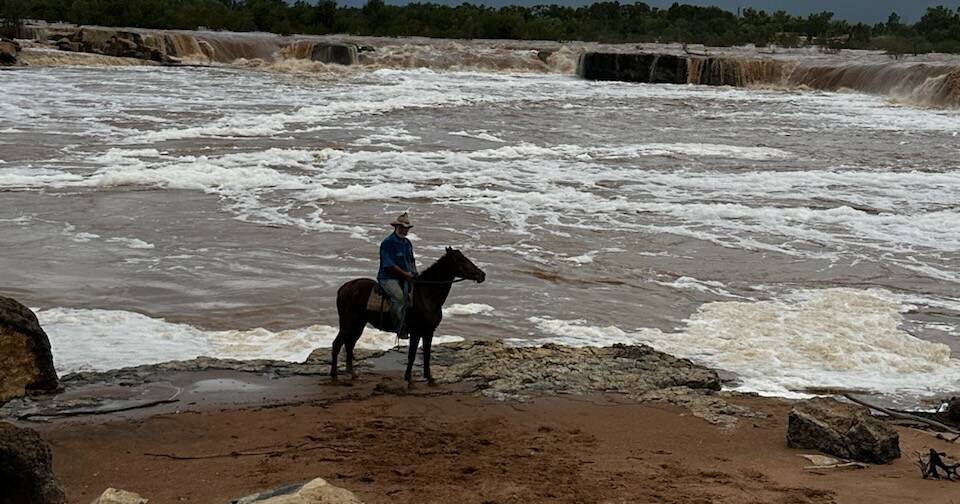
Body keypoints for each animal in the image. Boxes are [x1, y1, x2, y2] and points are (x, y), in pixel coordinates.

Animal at [334, 246, 492, 384]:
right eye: (462, 260)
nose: (482, 274)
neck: (426, 295)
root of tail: (343, 288)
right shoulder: (416, 332)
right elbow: (412, 354)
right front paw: (409, 379)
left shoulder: (429, 331)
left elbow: (427, 354)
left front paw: (430, 378)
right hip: (349, 323)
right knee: (337, 344)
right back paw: (334, 375)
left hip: (358, 325)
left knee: (349, 344)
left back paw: (352, 373)